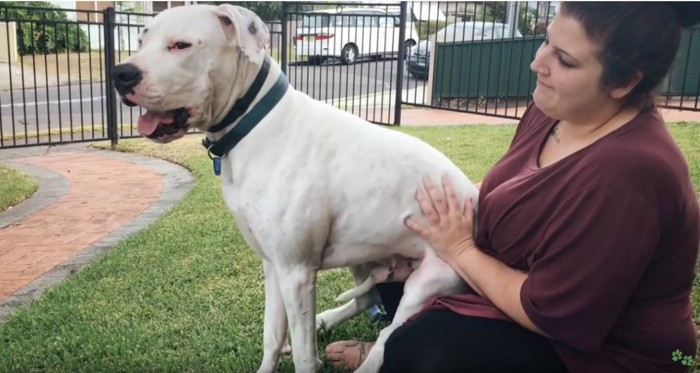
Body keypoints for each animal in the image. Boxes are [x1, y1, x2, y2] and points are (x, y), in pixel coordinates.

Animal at [112, 3, 478, 372]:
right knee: (370, 298)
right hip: (365, 259)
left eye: (181, 45)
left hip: (427, 282)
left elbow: (305, 356)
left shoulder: (296, 273)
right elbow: (272, 335)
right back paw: (326, 319)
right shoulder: (273, 266)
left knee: (387, 337)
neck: (254, 124)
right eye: (141, 41)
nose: (120, 73)